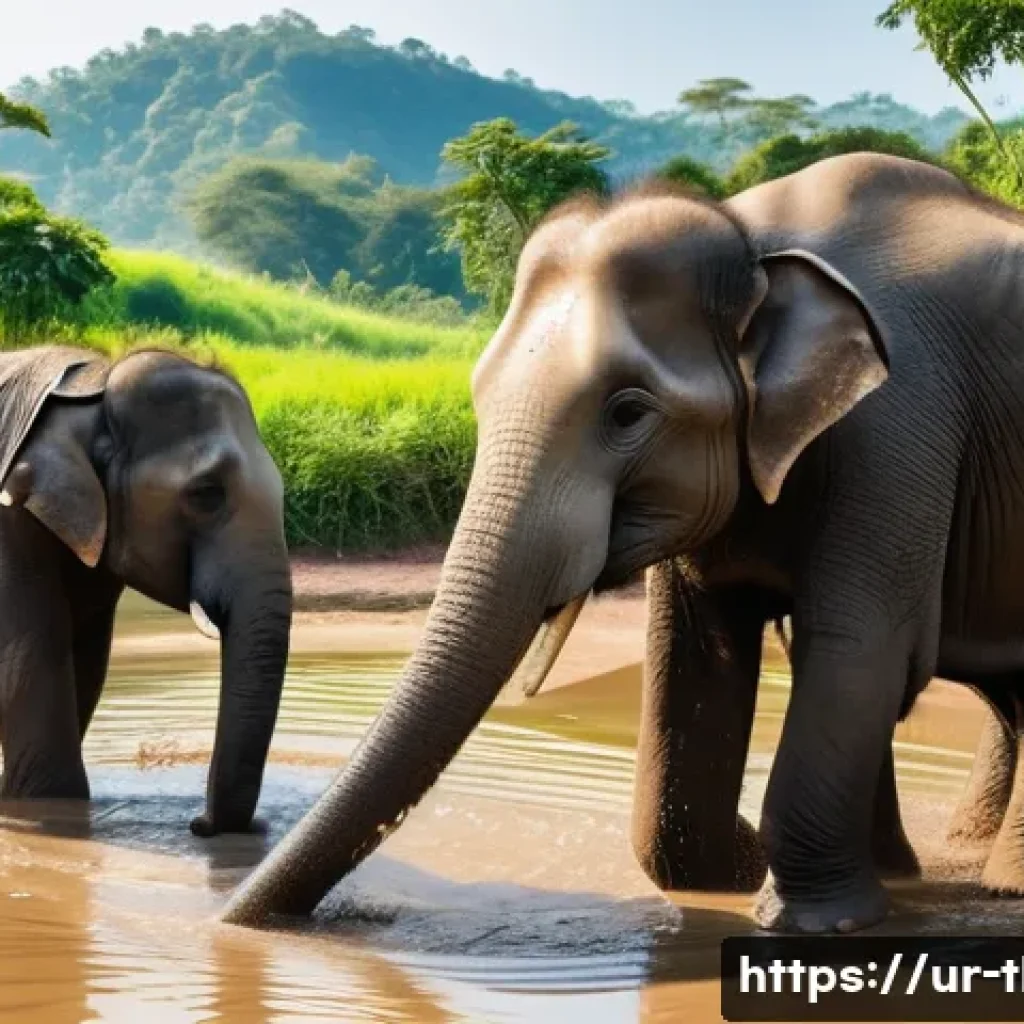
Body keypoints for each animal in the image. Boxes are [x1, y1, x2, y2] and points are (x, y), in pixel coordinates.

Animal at [0, 345, 292, 836]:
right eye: (206, 493)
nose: (199, 824)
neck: (95, 386)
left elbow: (86, 662)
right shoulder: (8, 521)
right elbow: (29, 659)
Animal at [221, 151, 1024, 935]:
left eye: (628, 412)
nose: (233, 921)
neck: (753, 240)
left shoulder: (899, 428)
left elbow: (856, 648)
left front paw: (810, 921)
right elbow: (698, 656)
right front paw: (736, 872)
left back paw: (997, 886)